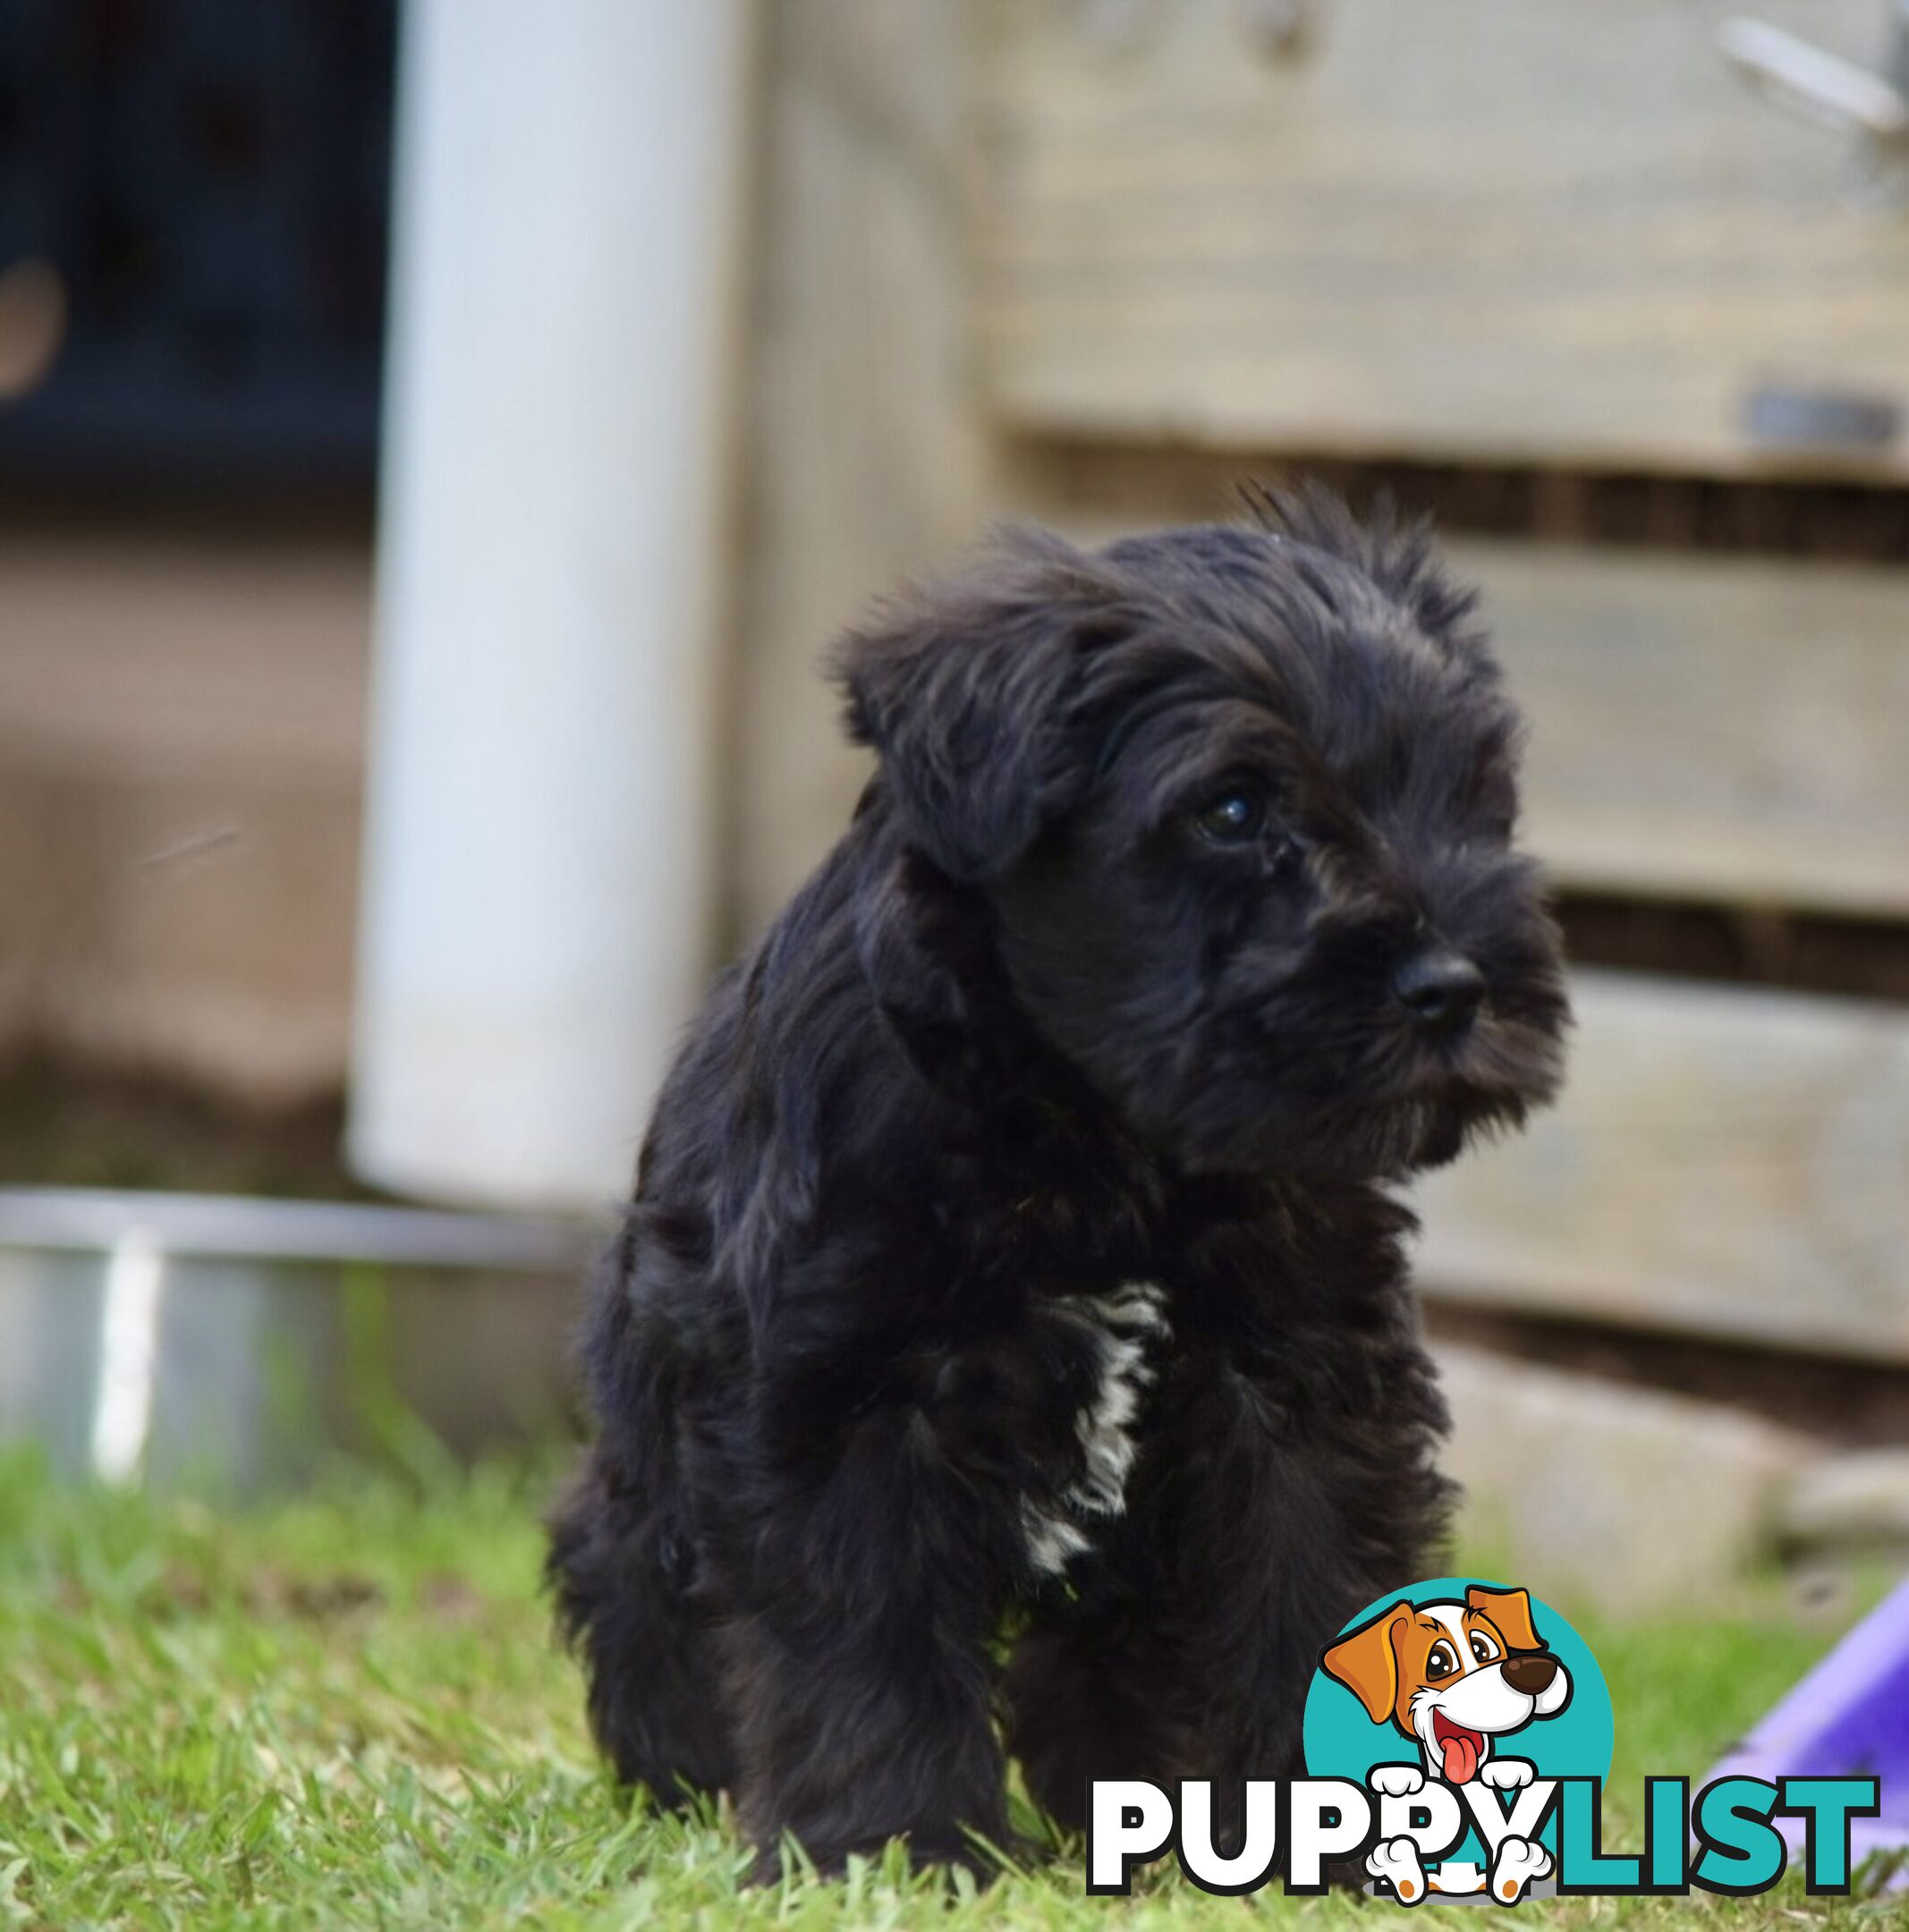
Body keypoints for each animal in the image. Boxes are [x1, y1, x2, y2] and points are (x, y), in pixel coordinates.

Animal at [548, 490, 1568, 1877]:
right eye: (1233, 811)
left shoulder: (1301, 1387)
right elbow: (863, 1644)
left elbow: (1312, 1592)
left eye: (1474, 793)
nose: (1454, 985)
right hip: (646, 1491)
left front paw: (1333, 1844)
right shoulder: (842, 1401)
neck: (1104, 1147)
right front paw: (894, 1847)